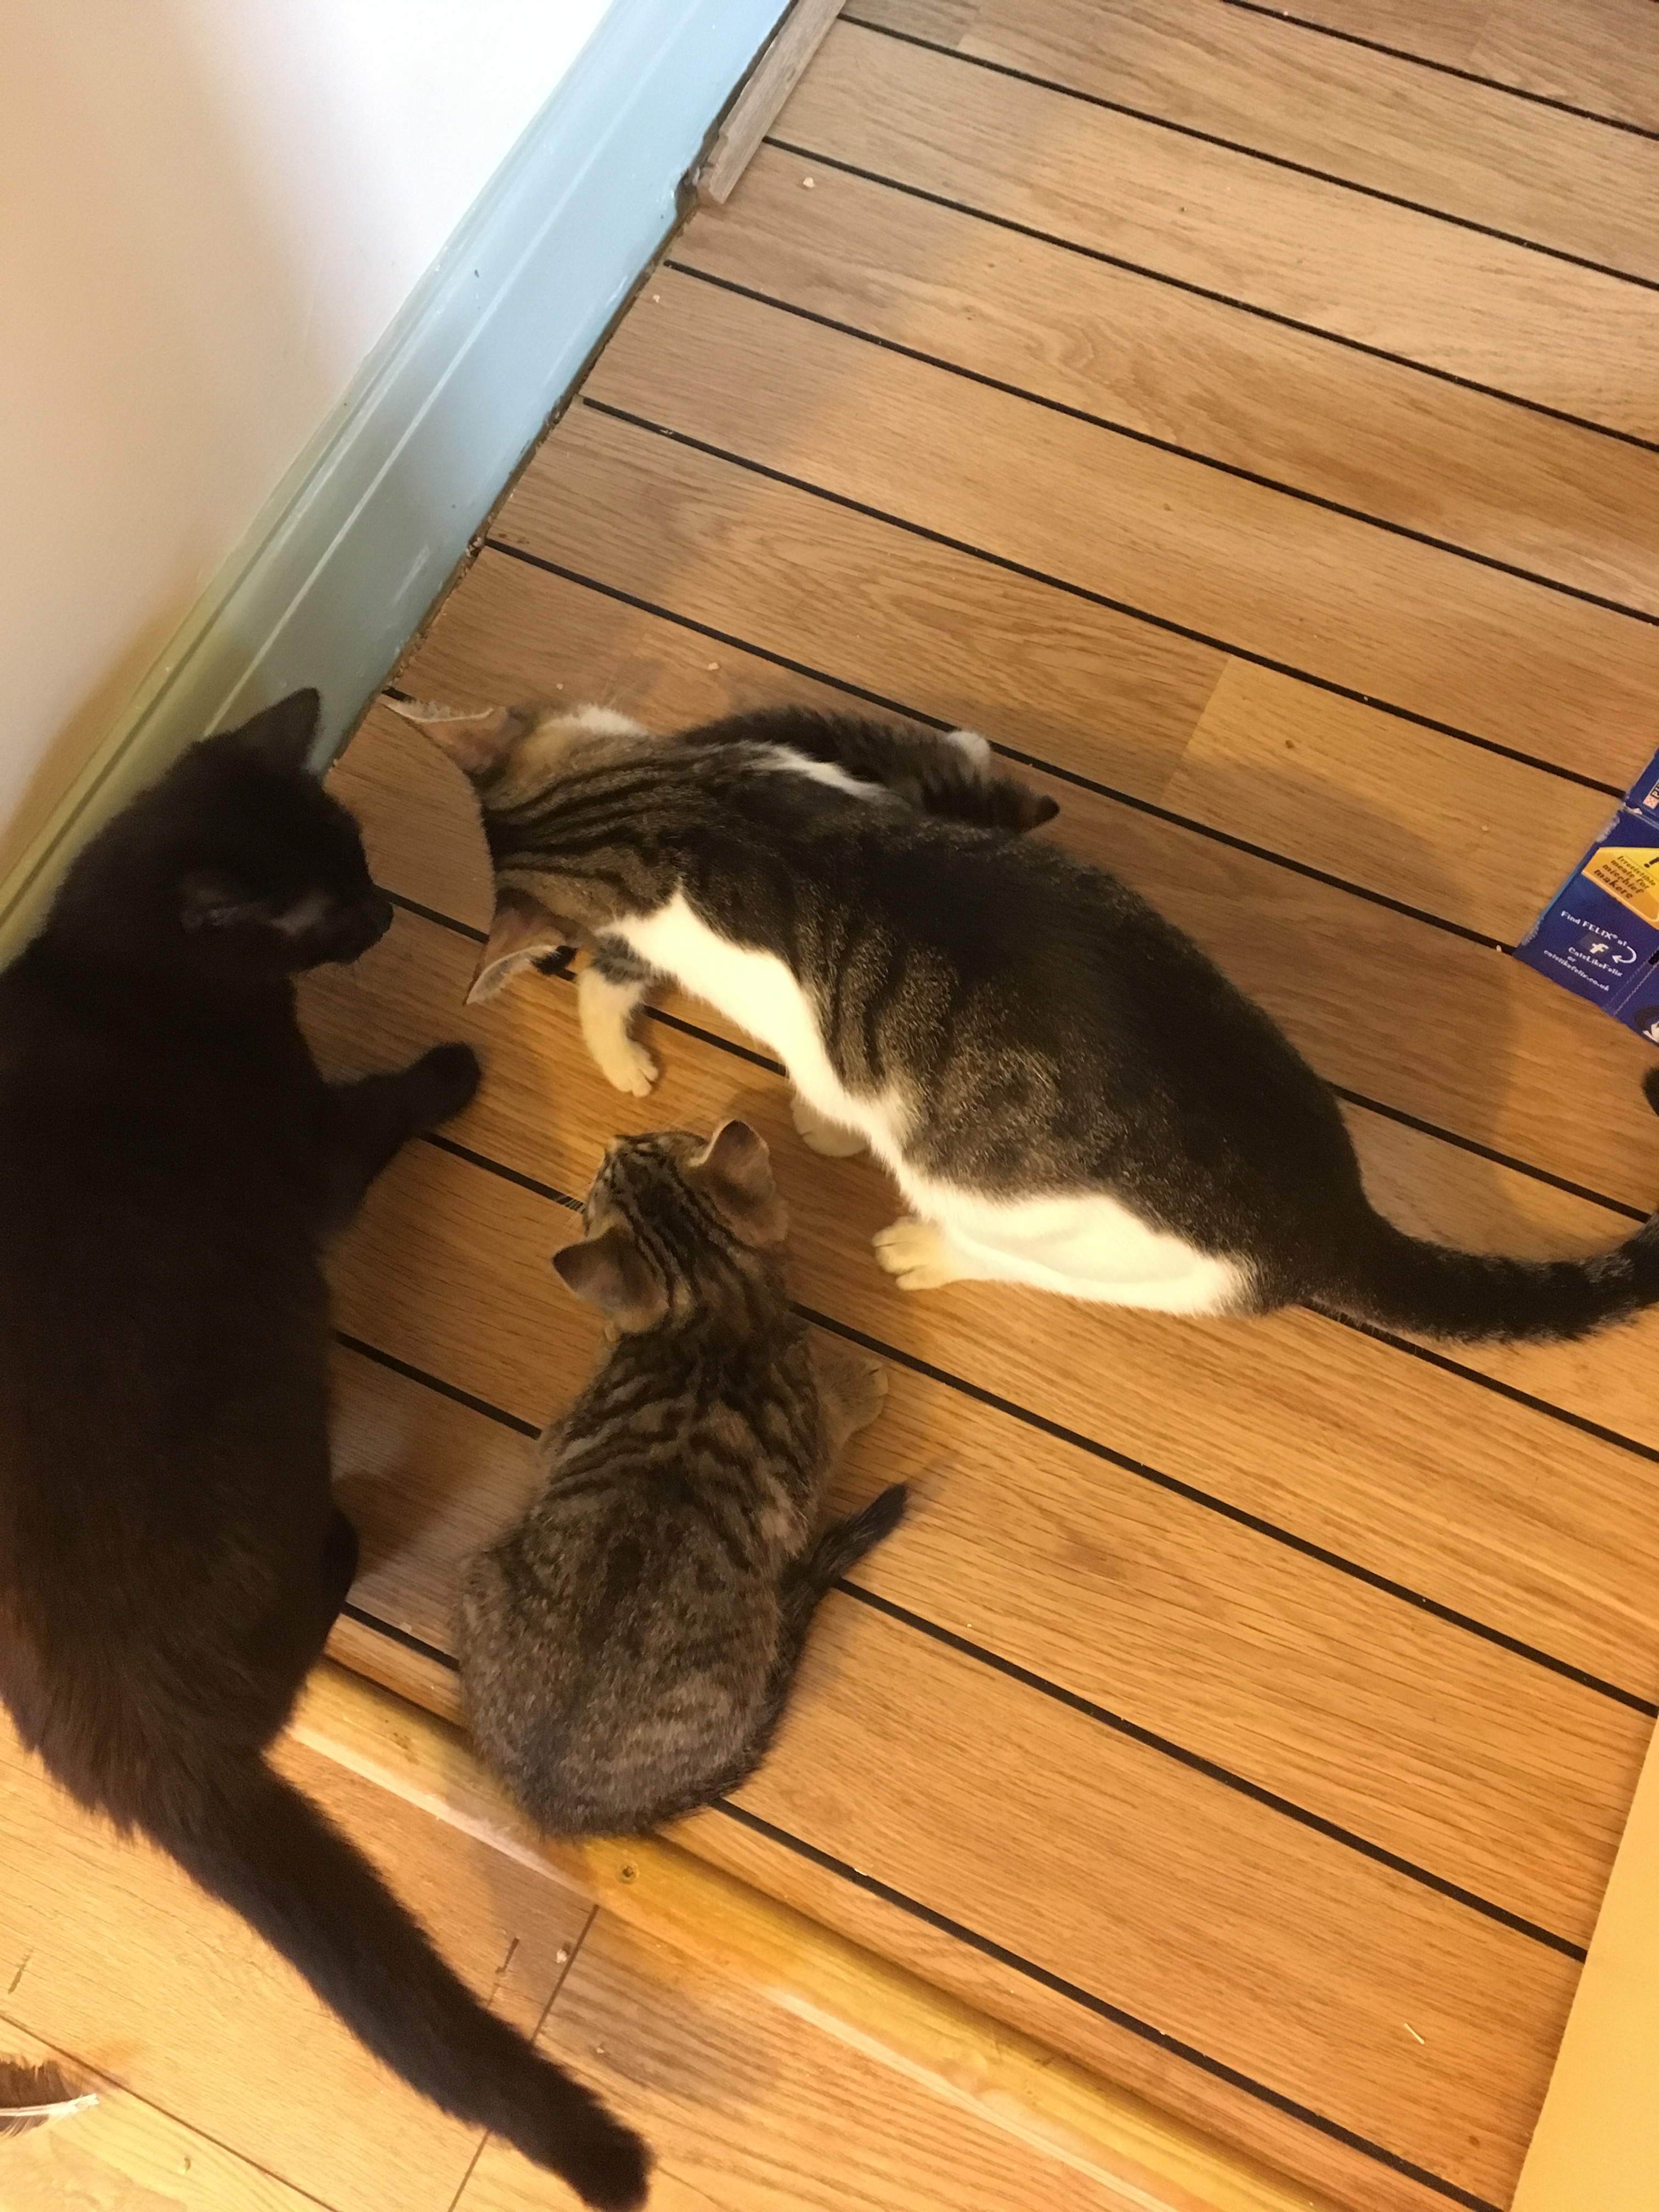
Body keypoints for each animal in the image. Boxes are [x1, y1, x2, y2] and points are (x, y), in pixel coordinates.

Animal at [0, 691, 648, 2211]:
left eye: (358, 857)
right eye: (327, 909)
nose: (390, 909)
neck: (121, 966)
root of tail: (149, 1763)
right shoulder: (310, 1153)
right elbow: (375, 1116)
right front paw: (448, 1071)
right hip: (277, 1450)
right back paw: (342, 1544)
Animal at [390, 693, 1659, 1346]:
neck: (688, 811)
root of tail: (1333, 1221)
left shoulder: (814, 1049)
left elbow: (817, 1092)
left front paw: (820, 1137)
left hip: (1032, 1219)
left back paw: (920, 1249)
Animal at [459, 1119, 904, 1835]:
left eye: (657, 1139)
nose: (613, 1140)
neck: (713, 1309)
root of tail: (554, 1803)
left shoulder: (557, 1439)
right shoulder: (808, 1439)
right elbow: (835, 1415)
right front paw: (857, 1386)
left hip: (484, 1576)